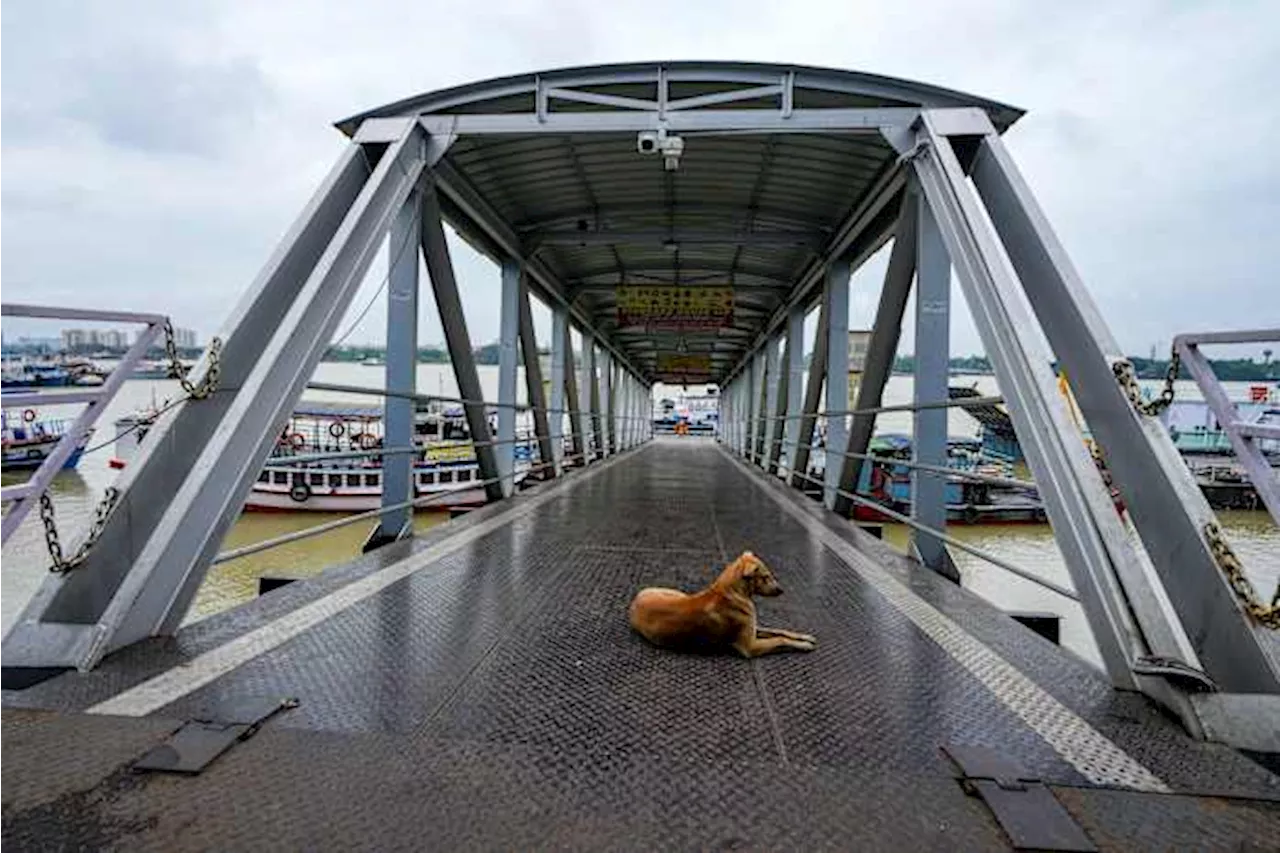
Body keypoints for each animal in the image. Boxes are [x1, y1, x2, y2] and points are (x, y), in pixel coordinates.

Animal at [624, 550, 814, 655]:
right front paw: (804, 645)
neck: (732, 592)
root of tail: (634, 601)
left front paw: (805, 637)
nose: (782, 590)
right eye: (766, 577)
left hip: (676, 593)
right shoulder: (750, 646)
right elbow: (780, 639)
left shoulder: (753, 629)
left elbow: (779, 631)